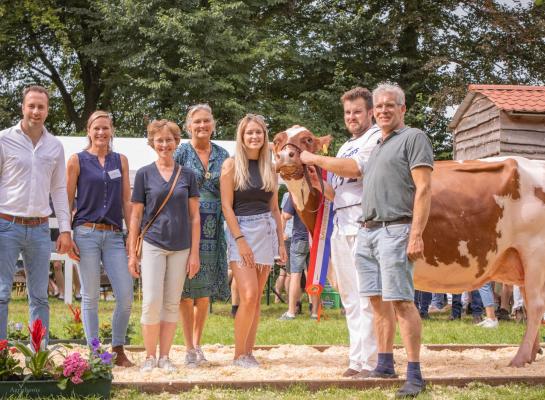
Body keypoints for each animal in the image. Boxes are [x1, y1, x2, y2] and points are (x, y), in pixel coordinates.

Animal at [274, 124, 544, 366]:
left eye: (308, 140)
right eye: (277, 140)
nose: (285, 156)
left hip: (534, 255)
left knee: (535, 306)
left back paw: (520, 358)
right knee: (532, 306)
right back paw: (531, 355)